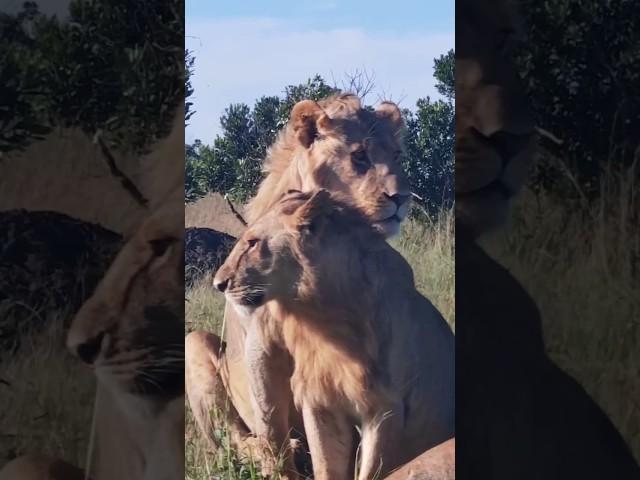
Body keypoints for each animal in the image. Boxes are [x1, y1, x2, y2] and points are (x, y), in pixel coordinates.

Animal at [214, 189, 456, 478]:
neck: (321, 315)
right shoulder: (321, 403)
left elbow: (371, 470)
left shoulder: (386, 409)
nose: (218, 284)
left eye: (252, 243)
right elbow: (326, 466)